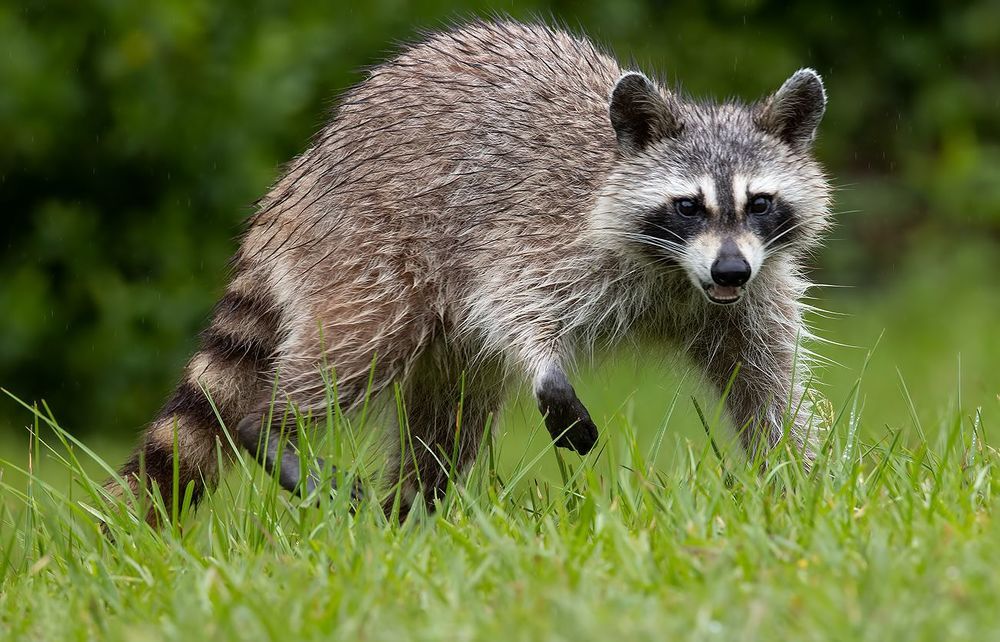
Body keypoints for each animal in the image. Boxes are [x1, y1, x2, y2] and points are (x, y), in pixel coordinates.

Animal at [106, 19, 831, 525]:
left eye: (759, 202)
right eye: (688, 205)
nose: (730, 269)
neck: (679, 275)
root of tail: (296, 181)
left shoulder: (753, 292)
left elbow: (765, 381)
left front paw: (795, 481)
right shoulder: (543, 234)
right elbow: (510, 300)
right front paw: (545, 366)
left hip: (444, 345)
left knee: (445, 425)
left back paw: (409, 510)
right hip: (366, 250)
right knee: (359, 346)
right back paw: (268, 425)